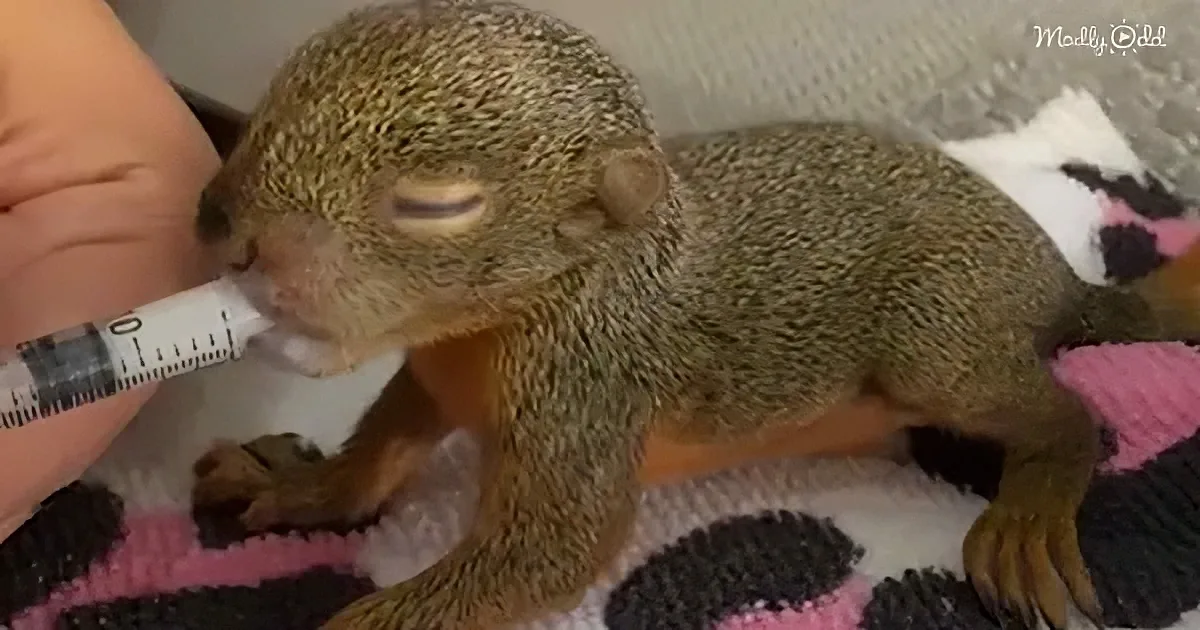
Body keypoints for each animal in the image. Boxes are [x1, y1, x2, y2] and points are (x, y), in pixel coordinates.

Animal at [188, 2, 1200, 628]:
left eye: (437, 205)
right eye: (268, 106)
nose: (221, 228)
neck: (488, 328)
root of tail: (1061, 283)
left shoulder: (587, 392)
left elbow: (558, 549)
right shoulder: (430, 377)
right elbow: (376, 459)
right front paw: (298, 483)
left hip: (939, 334)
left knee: (1070, 415)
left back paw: (1030, 511)